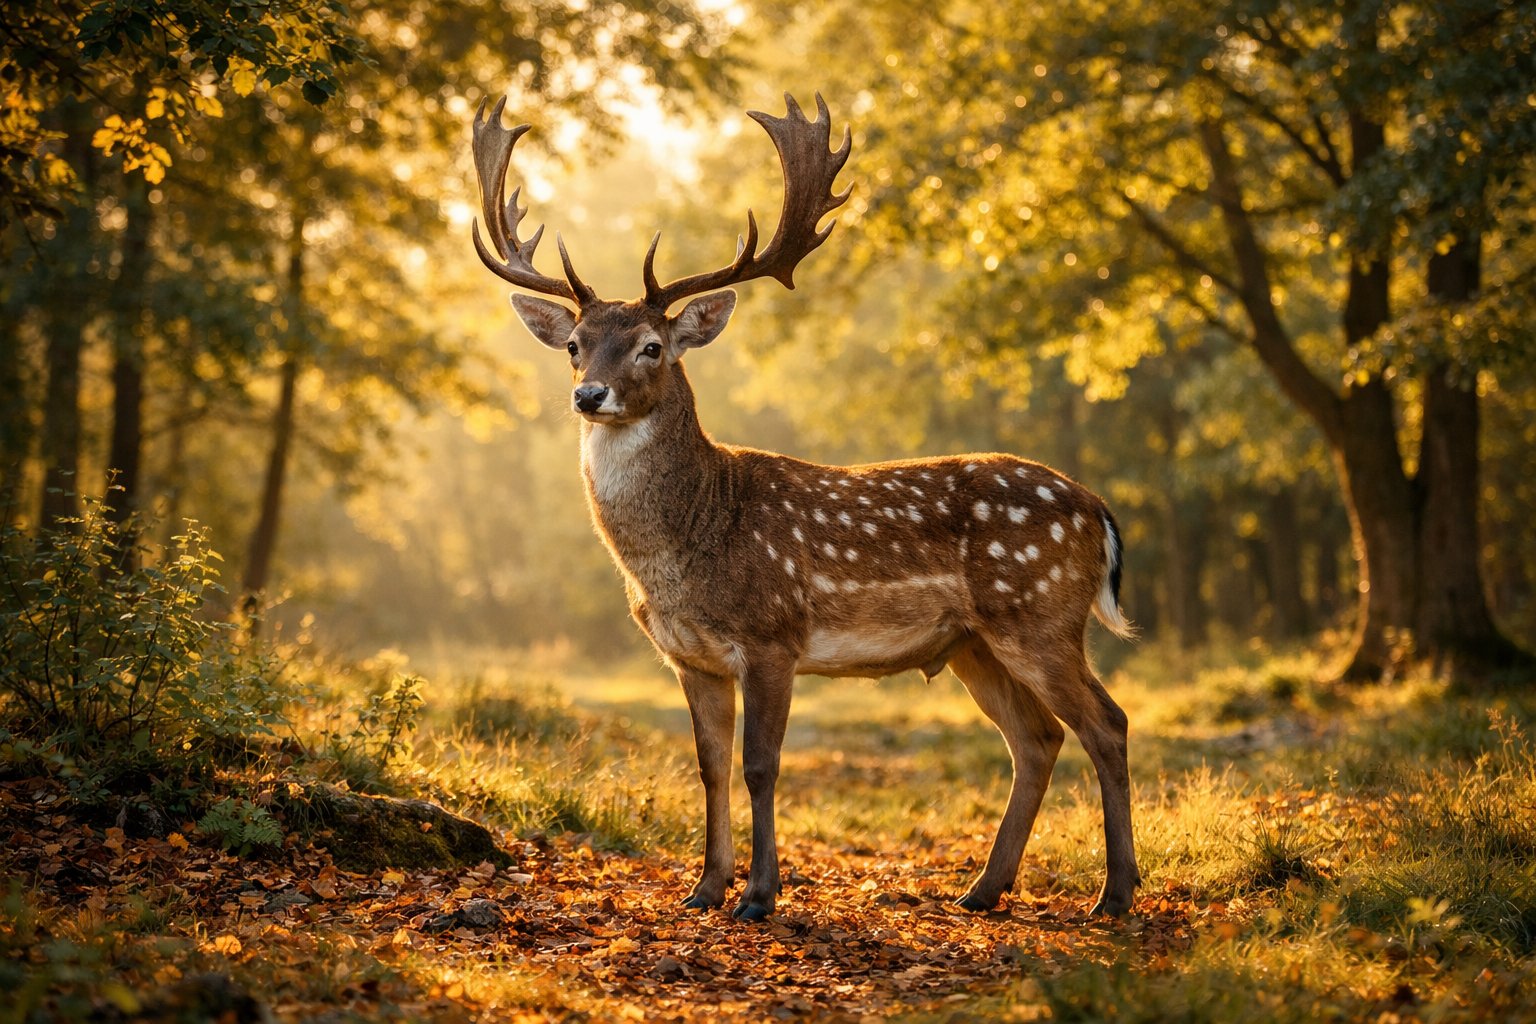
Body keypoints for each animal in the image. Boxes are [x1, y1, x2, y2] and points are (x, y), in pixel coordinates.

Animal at [470, 92, 1140, 921]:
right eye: (575, 345)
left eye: (653, 345)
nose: (588, 394)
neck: (689, 547)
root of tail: (1099, 513)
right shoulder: (688, 656)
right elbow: (709, 766)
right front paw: (704, 889)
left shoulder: (773, 633)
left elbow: (761, 764)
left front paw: (760, 895)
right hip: (973, 644)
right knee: (1038, 738)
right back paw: (983, 889)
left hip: (1041, 613)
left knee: (1106, 723)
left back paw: (1115, 894)